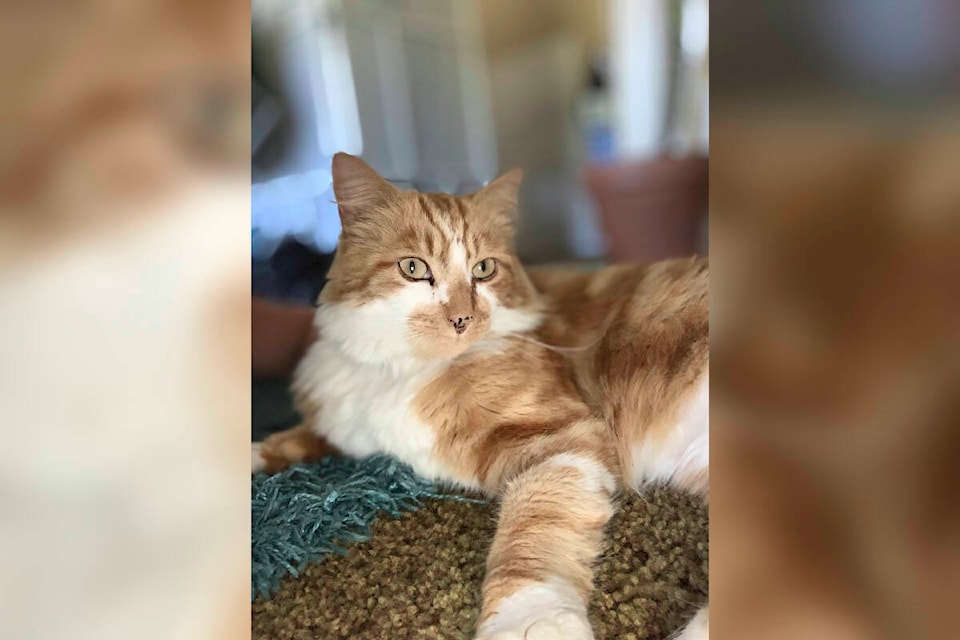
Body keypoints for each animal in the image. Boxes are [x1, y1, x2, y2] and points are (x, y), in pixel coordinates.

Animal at [252, 152, 709, 640]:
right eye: (413, 268)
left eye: (484, 270)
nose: (462, 319)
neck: (406, 369)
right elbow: (292, 441)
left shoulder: (558, 438)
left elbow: (531, 535)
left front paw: (529, 619)